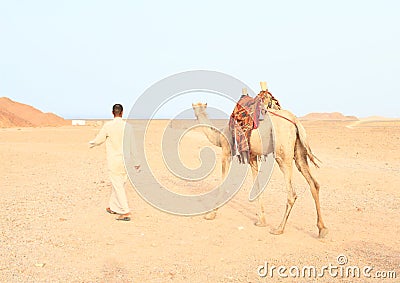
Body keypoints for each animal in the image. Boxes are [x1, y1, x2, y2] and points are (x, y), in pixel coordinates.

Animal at [193, 101, 328, 239]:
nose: (195, 112)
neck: (220, 135)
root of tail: (295, 121)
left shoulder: (226, 151)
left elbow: (223, 183)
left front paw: (211, 214)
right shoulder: (252, 156)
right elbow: (257, 185)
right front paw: (261, 221)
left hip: (282, 153)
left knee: (292, 193)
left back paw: (279, 229)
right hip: (299, 152)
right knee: (313, 183)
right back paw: (322, 229)